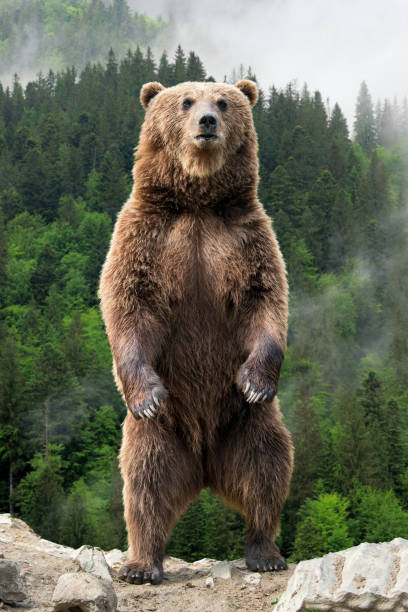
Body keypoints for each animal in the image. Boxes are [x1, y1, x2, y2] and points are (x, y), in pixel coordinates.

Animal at [100, 79, 294, 584]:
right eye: (186, 101)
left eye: (223, 102)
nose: (207, 121)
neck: (198, 202)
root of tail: (205, 466)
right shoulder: (146, 236)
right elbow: (129, 303)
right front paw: (146, 393)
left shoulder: (247, 238)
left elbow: (264, 301)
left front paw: (256, 380)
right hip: (162, 434)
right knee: (144, 484)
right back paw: (142, 563)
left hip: (246, 423)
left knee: (267, 469)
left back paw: (265, 551)